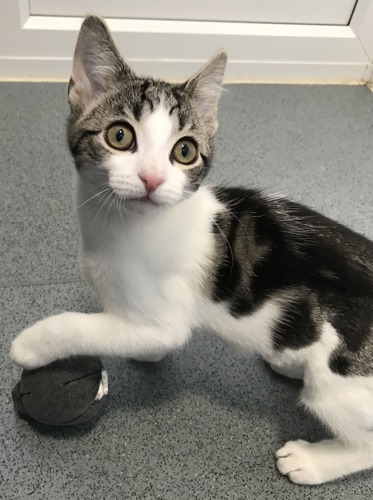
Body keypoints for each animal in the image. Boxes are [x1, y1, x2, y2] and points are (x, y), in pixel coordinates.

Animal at [10, 15, 372, 484]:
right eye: (119, 135)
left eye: (184, 151)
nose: (151, 178)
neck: (121, 225)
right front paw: (148, 355)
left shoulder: (162, 319)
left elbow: (85, 325)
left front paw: (32, 342)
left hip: (337, 384)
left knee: (364, 440)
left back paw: (312, 461)